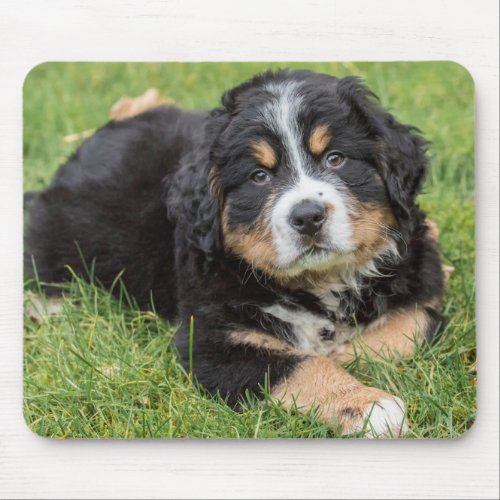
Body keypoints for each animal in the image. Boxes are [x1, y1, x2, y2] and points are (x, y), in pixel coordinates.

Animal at [25, 69, 444, 438]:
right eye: (259, 176)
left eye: (336, 158)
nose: (308, 216)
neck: (319, 283)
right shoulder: (214, 338)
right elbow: (301, 365)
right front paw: (367, 405)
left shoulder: (421, 282)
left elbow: (407, 331)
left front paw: (346, 358)